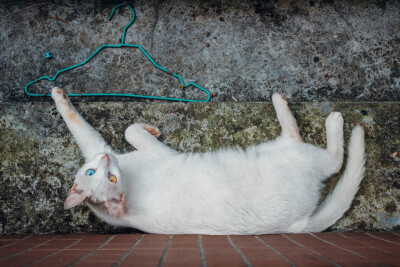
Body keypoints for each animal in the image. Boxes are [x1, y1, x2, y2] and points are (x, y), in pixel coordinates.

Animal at [53, 87, 366, 234]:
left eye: (96, 172)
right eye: (110, 178)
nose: (107, 159)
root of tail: (298, 225)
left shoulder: (100, 146)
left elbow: (119, 129)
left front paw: (57, 93)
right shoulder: (158, 154)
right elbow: (128, 132)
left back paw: (279, 100)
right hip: (295, 156)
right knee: (332, 160)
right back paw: (333, 120)